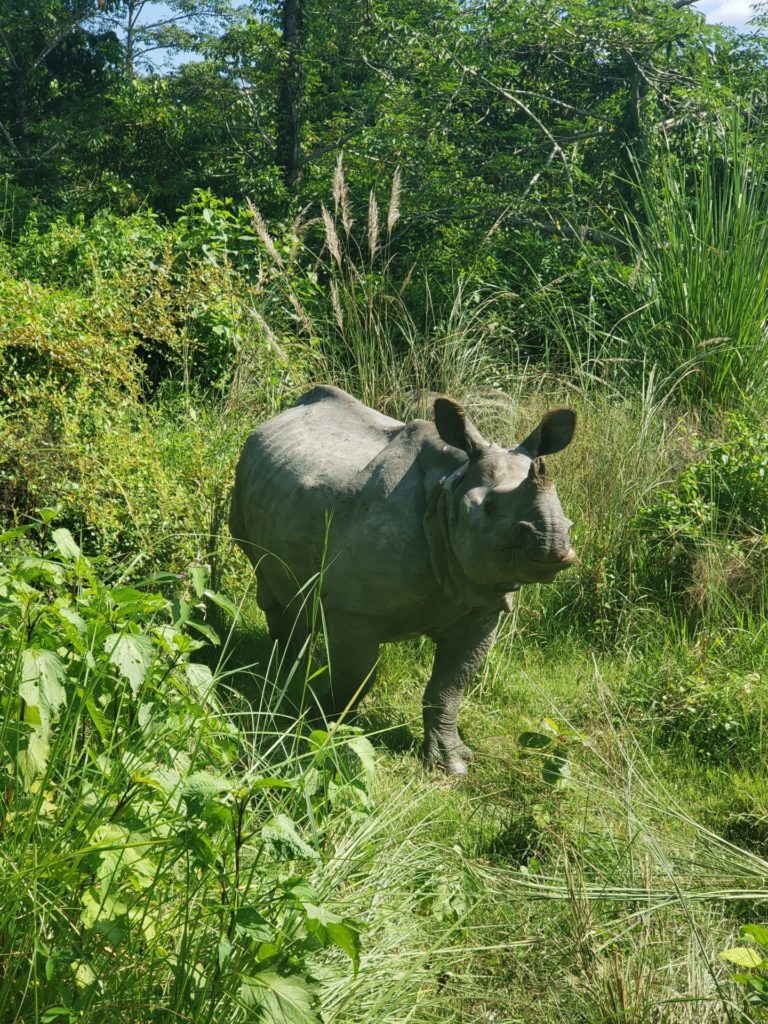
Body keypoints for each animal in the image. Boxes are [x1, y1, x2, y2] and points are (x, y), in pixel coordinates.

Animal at [230, 385, 576, 774]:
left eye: (563, 506)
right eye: (488, 509)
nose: (554, 542)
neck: (450, 490)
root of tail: (280, 415)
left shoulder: (482, 606)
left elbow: (450, 684)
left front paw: (451, 762)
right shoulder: (353, 609)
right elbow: (358, 675)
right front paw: (323, 729)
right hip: (244, 480)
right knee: (267, 580)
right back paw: (283, 673)